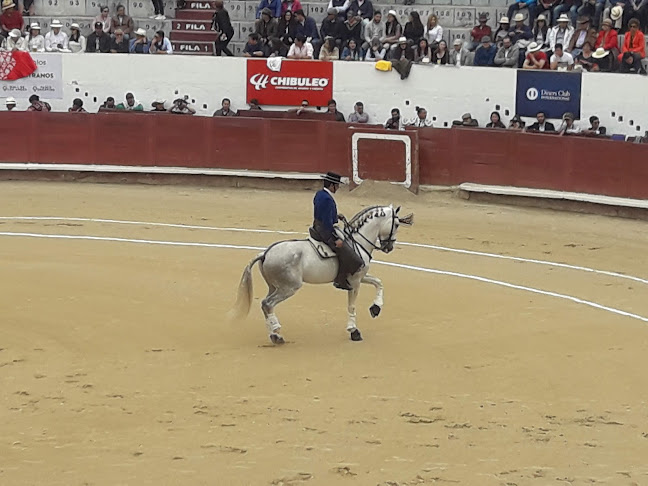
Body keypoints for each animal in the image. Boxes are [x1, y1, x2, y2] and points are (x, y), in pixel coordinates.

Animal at [229, 203, 410, 344]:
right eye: (397, 224)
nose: (389, 247)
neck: (358, 241)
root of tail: (265, 253)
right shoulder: (355, 280)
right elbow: (352, 305)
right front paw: (354, 331)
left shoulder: (360, 276)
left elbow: (378, 282)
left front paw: (375, 308)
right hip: (289, 287)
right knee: (267, 304)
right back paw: (276, 334)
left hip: (274, 286)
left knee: (266, 305)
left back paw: (275, 335)